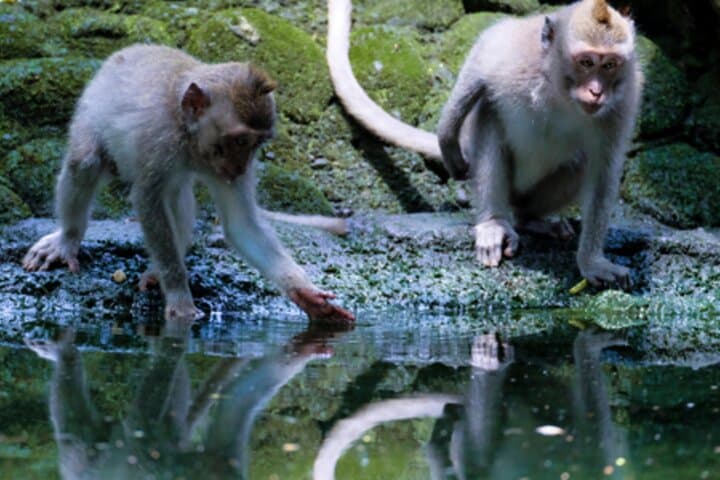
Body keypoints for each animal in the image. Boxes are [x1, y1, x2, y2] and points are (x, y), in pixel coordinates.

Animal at [23, 44, 354, 325]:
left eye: (255, 144)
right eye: (240, 140)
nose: (241, 166)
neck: (188, 137)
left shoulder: (221, 170)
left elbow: (242, 224)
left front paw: (307, 295)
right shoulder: (159, 139)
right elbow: (147, 200)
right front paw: (179, 296)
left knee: (176, 192)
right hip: (91, 107)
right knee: (85, 162)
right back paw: (68, 239)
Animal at [327, 0, 642, 288]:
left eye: (610, 65)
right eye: (586, 62)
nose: (597, 92)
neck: (562, 95)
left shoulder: (621, 104)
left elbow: (603, 173)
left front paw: (592, 261)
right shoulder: (518, 58)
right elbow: (486, 52)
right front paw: (447, 134)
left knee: (576, 165)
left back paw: (531, 219)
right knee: (489, 115)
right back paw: (494, 223)